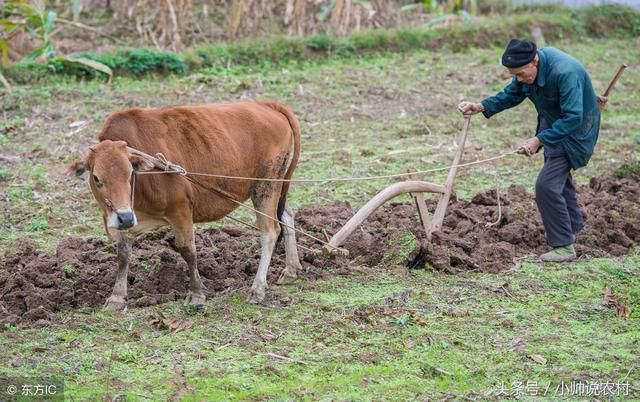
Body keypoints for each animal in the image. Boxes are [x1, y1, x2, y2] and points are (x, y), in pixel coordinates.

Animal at [69, 102, 304, 310]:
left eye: (130, 174)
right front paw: (117, 297)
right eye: (97, 178)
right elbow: (123, 254)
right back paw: (291, 270)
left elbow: (188, 251)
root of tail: (267, 105)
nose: (125, 217)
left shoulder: (180, 210)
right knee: (286, 214)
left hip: (266, 185)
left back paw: (257, 288)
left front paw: (197, 294)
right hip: (274, 187)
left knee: (270, 231)